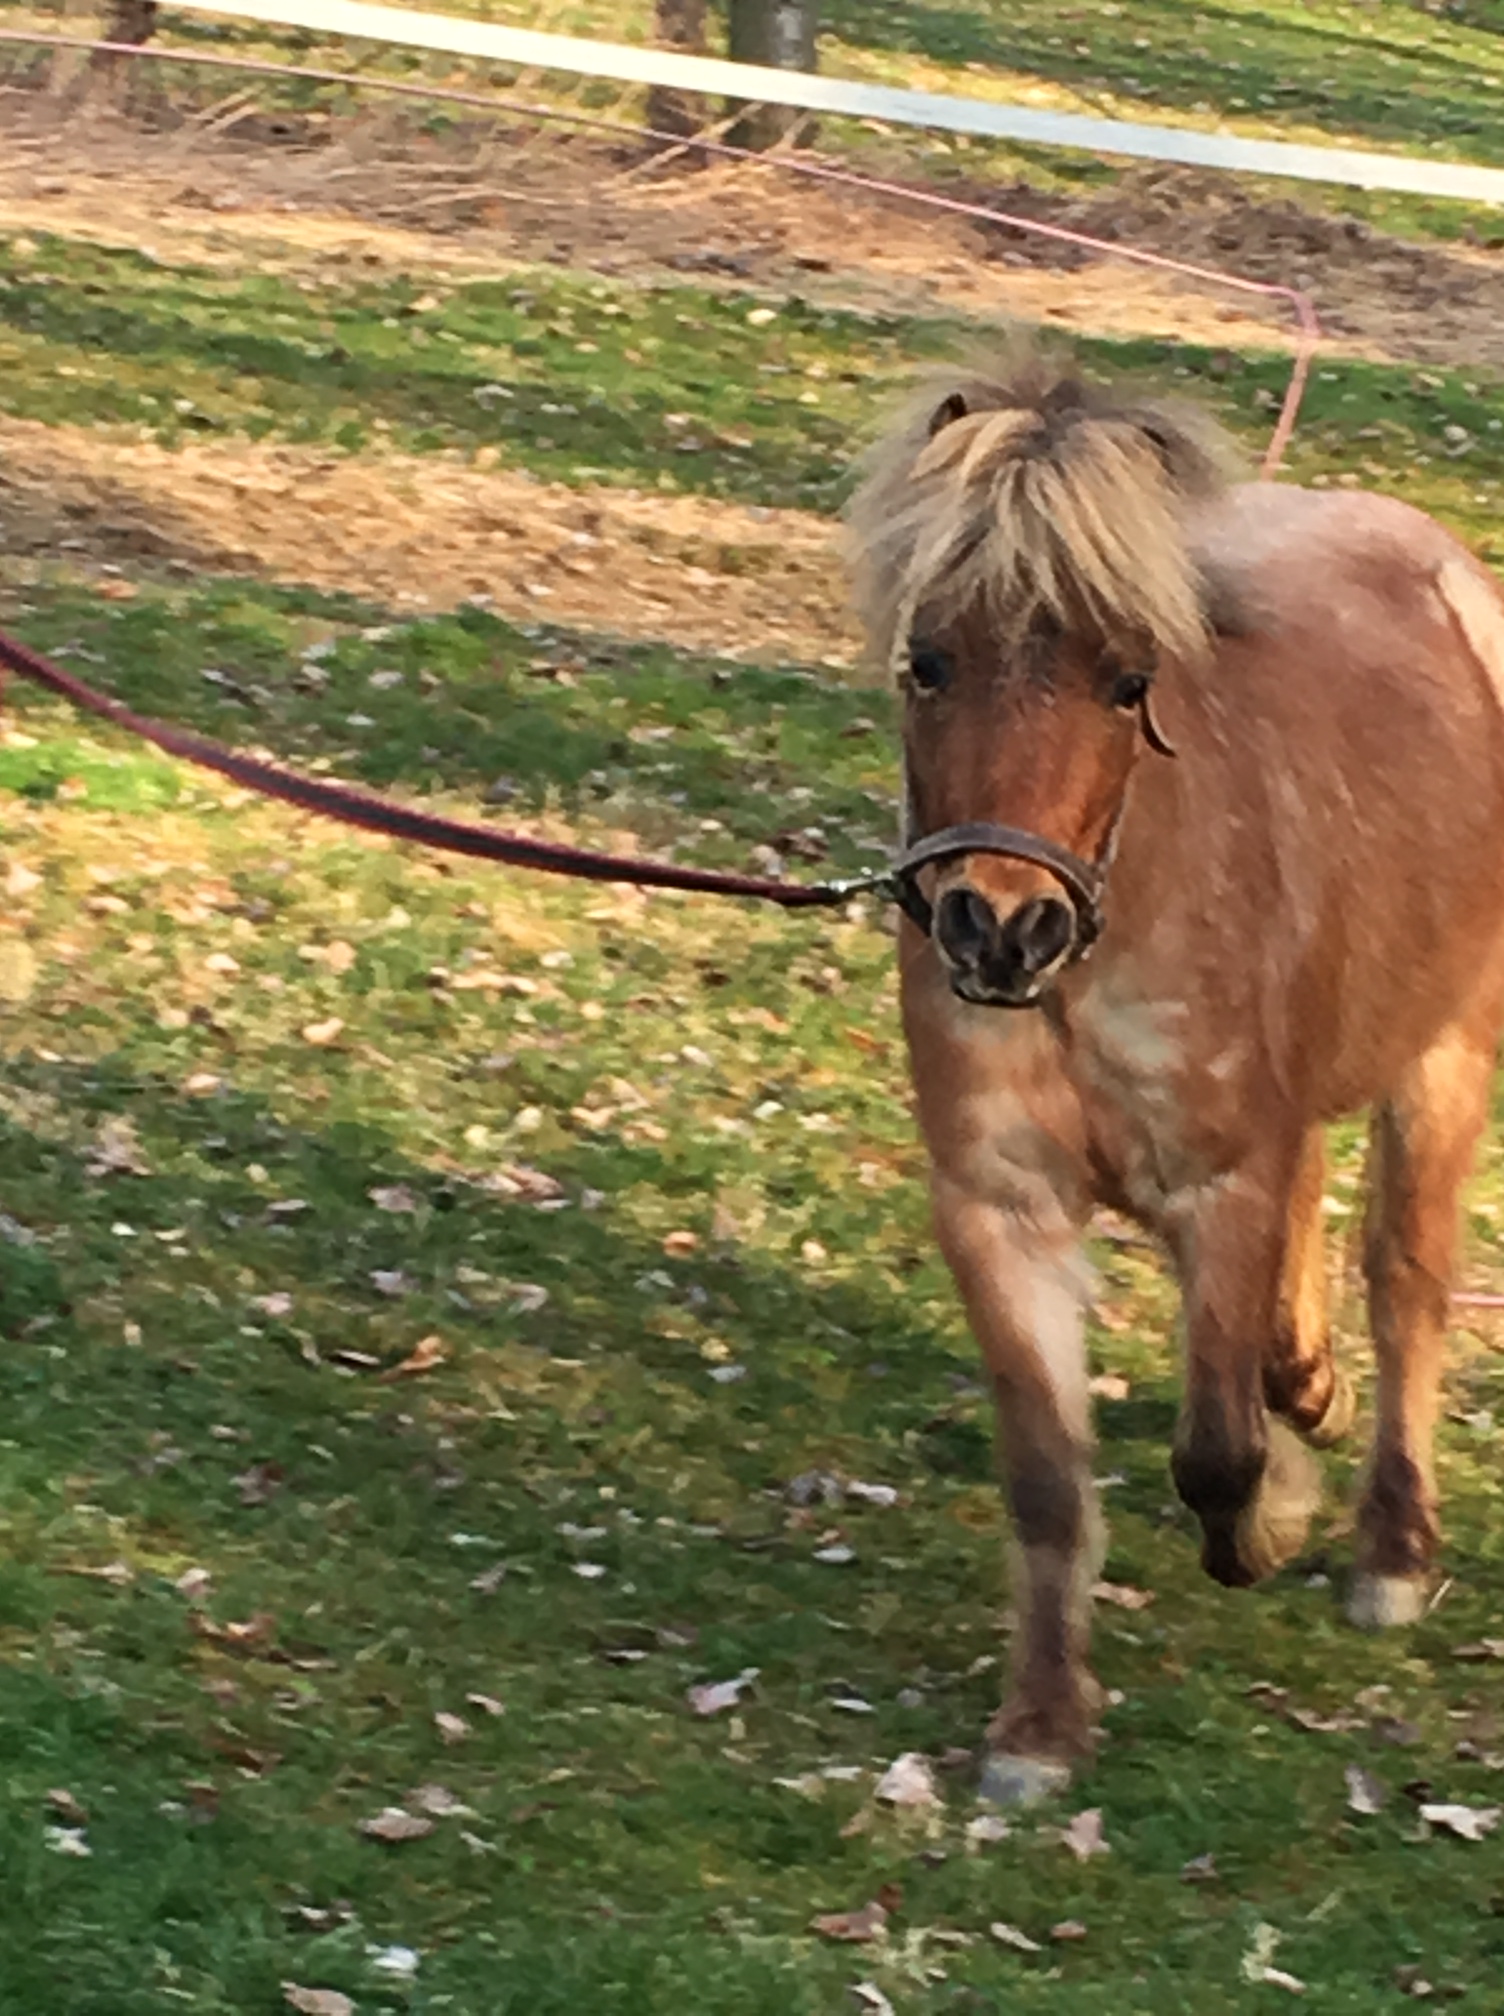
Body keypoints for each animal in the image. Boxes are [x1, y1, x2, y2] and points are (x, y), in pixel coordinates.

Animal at [847, 347, 1504, 1806]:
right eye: (930, 662)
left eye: (1124, 678)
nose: (999, 926)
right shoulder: (999, 1209)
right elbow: (1047, 1480)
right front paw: (1038, 1731)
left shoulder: (1220, 1183)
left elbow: (1215, 1449)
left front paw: (1271, 1522)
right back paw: (1307, 1380)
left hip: (1445, 1056)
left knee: (1407, 1283)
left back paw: (1390, 1549)